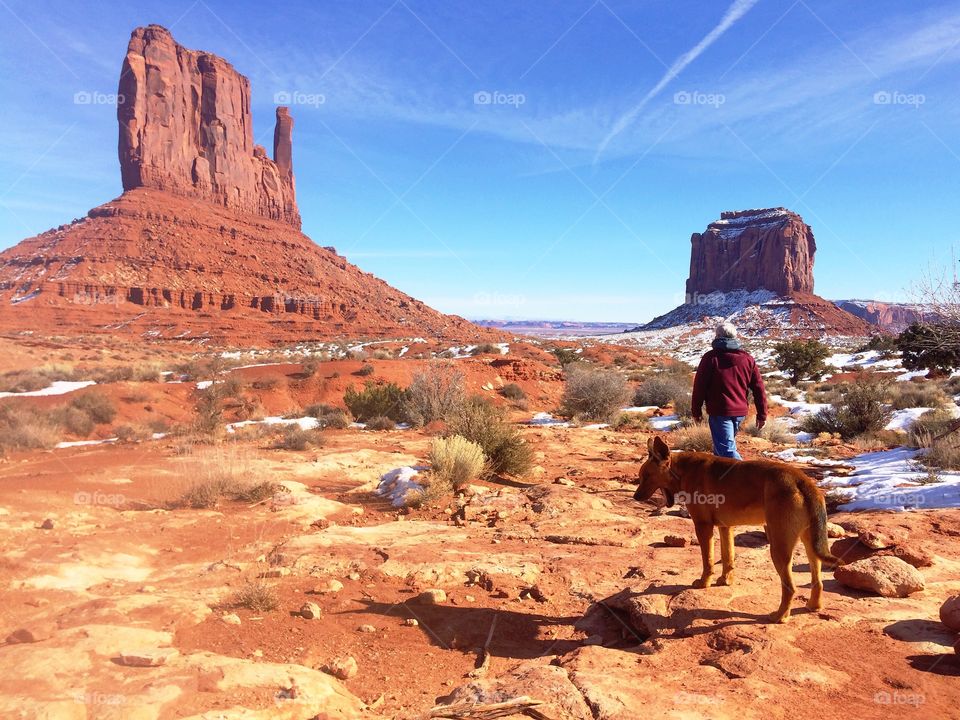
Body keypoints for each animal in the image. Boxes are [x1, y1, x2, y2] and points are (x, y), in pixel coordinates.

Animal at [636, 436, 840, 620]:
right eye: (641, 476)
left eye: (646, 476)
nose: (635, 497)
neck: (683, 469)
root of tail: (804, 481)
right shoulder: (725, 527)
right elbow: (728, 557)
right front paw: (725, 581)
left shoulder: (703, 526)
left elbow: (708, 561)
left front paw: (704, 583)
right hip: (810, 544)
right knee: (818, 582)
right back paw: (814, 606)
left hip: (778, 547)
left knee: (790, 587)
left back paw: (780, 616)